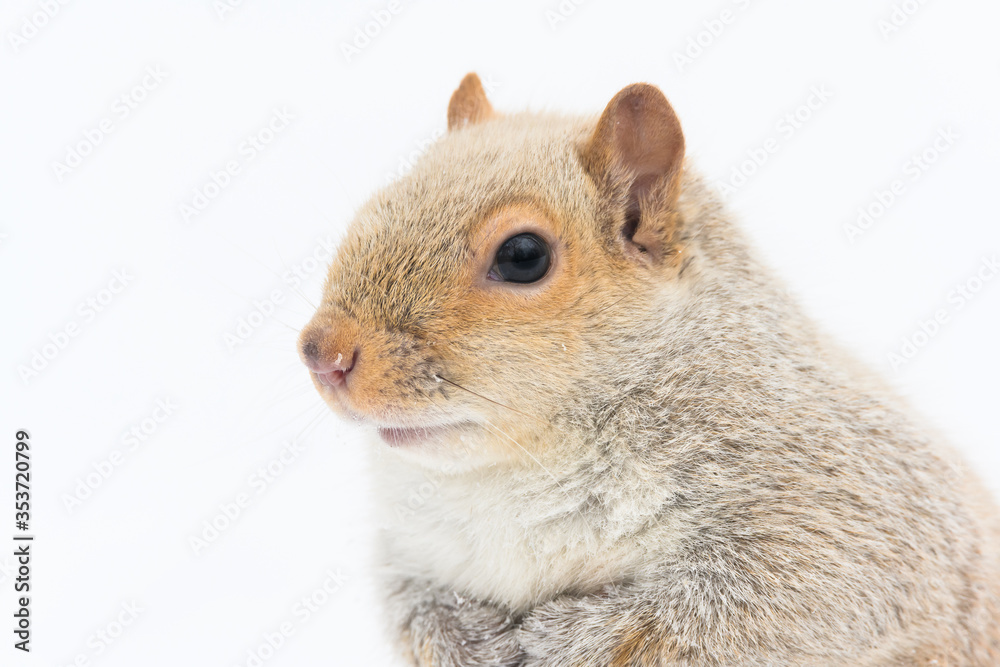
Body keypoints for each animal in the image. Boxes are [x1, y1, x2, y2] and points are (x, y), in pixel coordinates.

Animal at [298, 73, 1000, 666]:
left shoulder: (846, 510)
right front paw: (461, 638)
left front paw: (568, 638)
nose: (322, 352)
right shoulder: (414, 550)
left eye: (523, 255)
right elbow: (411, 606)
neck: (509, 470)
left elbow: (749, 610)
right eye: (379, 200)